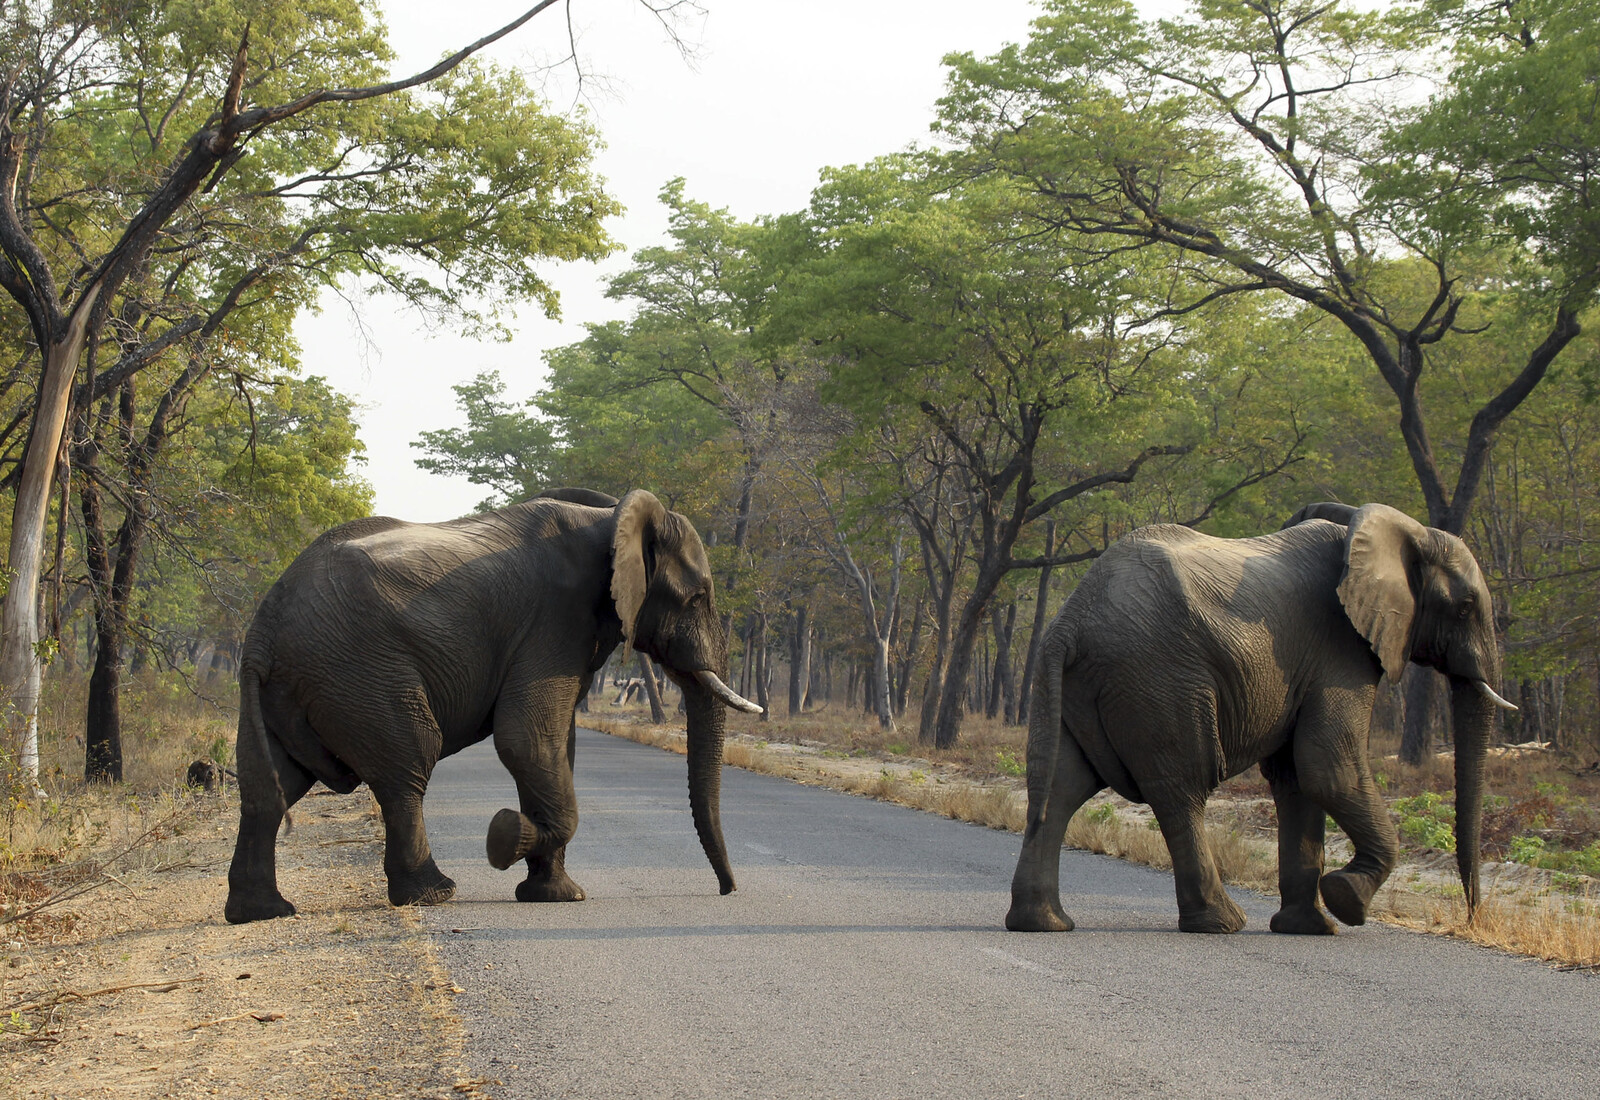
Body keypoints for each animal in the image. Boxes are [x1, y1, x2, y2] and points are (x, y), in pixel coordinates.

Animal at [224, 487, 761, 924]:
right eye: (698, 597)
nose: (727, 890)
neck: (609, 518)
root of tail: (263, 631)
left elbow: (555, 747)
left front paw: (554, 895)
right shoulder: (555, 621)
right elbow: (527, 741)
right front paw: (503, 838)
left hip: (294, 687)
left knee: (270, 787)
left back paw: (262, 912)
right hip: (359, 671)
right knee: (408, 765)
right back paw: (433, 894)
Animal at [1006, 502, 1516, 935]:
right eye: (1465, 607)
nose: (1472, 916)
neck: (1393, 528)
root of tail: (1071, 621)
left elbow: (1296, 778)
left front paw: (1310, 928)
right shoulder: (1341, 650)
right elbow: (1328, 767)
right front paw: (1346, 900)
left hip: (1077, 684)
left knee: (1059, 786)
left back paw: (1043, 924)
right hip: (1159, 679)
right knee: (1181, 789)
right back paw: (1222, 923)